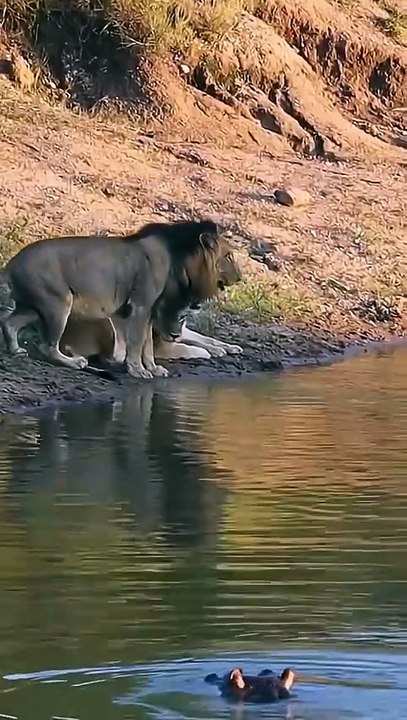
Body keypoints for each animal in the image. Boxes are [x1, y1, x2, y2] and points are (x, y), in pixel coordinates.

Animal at [0, 219, 241, 379]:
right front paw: (137, 370)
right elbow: (136, 343)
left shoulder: (150, 312)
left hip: (34, 306)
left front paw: (153, 368)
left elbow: (147, 345)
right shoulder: (141, 306)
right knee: (46, 346)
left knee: (9, 322)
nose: (240, 277)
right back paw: (74, 362)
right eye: (228, 256)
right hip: (58, 305)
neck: (179, 261)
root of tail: (11, 264)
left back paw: (16, 350)